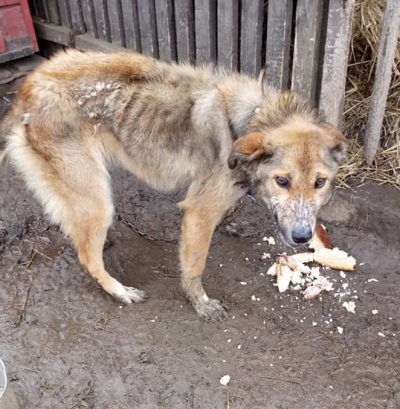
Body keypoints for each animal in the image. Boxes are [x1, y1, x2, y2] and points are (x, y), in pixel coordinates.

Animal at [0, 50, 346, 318]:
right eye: (282, 181)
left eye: (320, 182)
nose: (302, 237)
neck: (254, 118)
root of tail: (29, 86)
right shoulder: (199, 213)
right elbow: (194, 266)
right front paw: (200, 303)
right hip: (97, 199)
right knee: (88, 258)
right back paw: (119, 291)